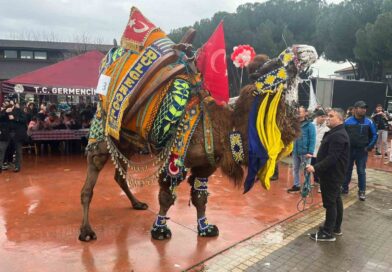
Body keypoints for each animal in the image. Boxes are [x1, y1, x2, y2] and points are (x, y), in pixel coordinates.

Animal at [78, 6, 316, 241]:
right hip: (101, 131)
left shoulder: (207, 164)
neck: (224, 126)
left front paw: (206, 228)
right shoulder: (175, 157)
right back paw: (86, 231)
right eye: (274, 63)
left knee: (119, 175)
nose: (308, 50)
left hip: (125, 141)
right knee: (90, 181)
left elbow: (200, 196)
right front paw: (160, 230)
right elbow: (166, 196)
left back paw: (137, 203)